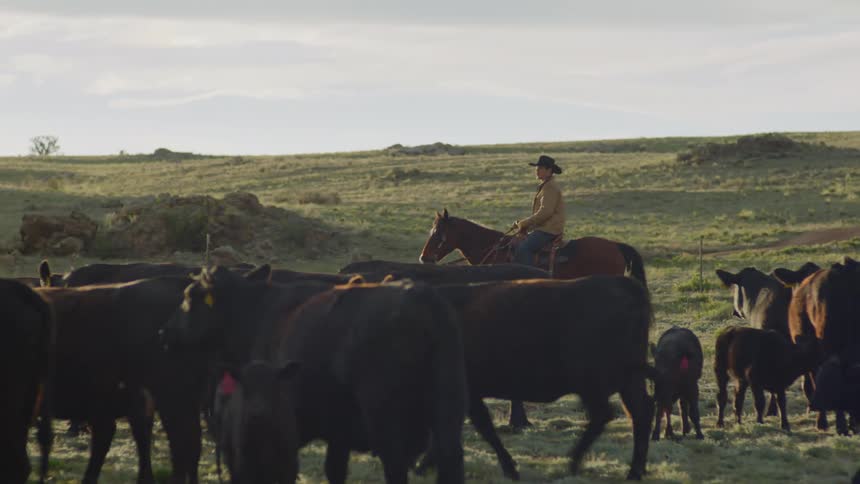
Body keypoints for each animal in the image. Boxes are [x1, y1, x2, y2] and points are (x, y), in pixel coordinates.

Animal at [164, 267, 467, 484]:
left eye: (189, 297)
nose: (163, 332)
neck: (256, 314)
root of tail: (422, 297)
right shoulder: (338, 429)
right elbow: (334, 470)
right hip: (448, 406)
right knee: (451, 459)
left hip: (384, 415)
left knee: (396, 467)